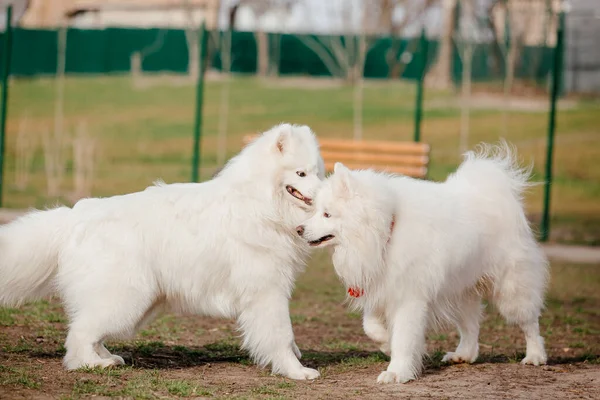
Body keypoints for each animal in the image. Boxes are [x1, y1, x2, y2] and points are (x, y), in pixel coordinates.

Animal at [0, 123, 324, 380]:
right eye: (300, 173)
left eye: (318, 173)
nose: (323, 193)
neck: (261, 202)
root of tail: (74, 216)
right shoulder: (267, 290)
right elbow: (281, 334)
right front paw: (297, 372)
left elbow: (286, 336)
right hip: (125, 296)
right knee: (79, 333)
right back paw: (91, 364)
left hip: (135, 301)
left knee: (90, 329)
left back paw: (106, 358)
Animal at [296, 144, 548, 384]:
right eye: (317, 211)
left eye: (327, 214)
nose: (299, 229)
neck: (386, 231)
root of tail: (496, 192)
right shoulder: (380, 288)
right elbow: (371, 326)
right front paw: (386, 344)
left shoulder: (409, 297)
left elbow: (404, 338)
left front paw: (397, 372)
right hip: (460, 290)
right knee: (470, 326)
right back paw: (464, 355)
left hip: (511, 289)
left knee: (529, 322)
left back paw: (535, 356)